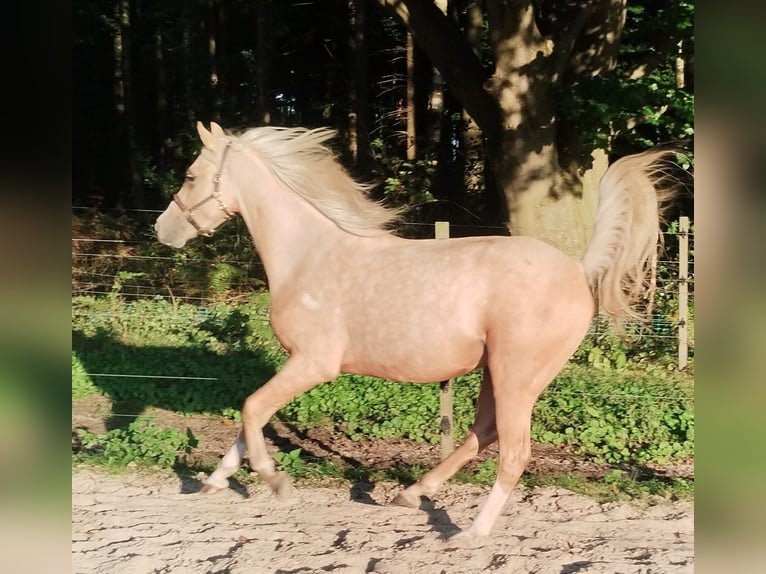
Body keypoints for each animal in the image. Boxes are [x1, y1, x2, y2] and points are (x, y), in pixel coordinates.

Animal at [154, 120, 680, 540]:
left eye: (191, 175)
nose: (163, 229)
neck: (308, 255)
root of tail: (577, 267)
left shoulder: (313, 364)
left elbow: (252, 408)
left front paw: (275, 482)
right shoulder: (297, 364)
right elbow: (253, 417)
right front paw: (214, 481)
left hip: (517, 376)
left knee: (513, 454)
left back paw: (470, 533)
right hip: (497, 373)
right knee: (483, 433)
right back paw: (411, 494)